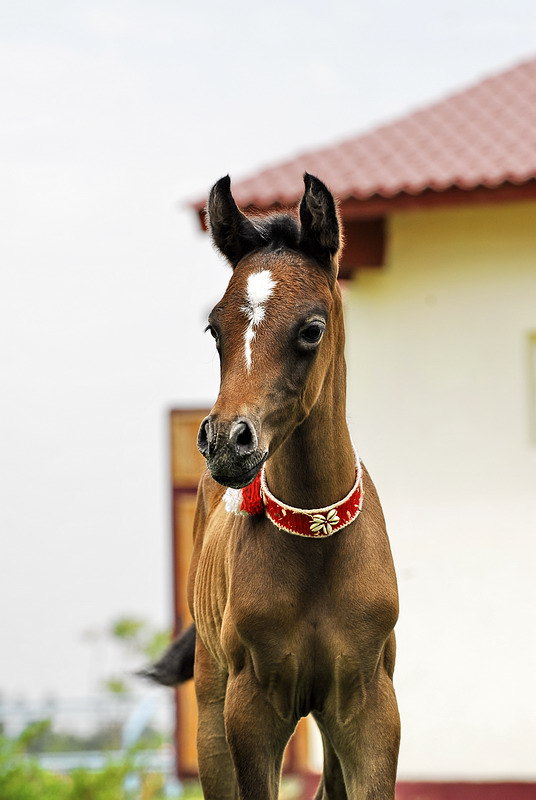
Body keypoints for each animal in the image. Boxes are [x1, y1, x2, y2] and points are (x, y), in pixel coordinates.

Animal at [188, 175, 398, 800]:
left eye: (311, 329)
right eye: (215, 328)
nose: (227, 443)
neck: (316, 540)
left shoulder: (370, 709)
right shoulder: (250, 711)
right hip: (210, 711)